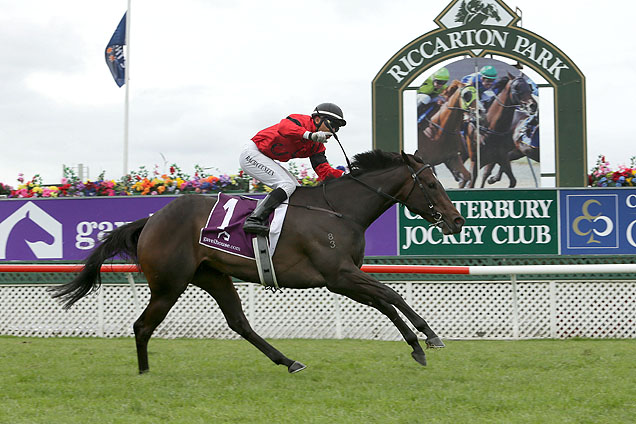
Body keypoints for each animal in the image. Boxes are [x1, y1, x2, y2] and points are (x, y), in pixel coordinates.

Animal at [51, 152, 468, 374]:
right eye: (432, 185)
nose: (457, 220)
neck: (339, 211)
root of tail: (151, 219)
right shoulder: (338, 275)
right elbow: (392, 295)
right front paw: (428, 336)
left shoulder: (344, 279)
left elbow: (385, 302)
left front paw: (416, 345)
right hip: (170, 283)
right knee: (142, 325)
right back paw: (144, 372)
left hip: (213, 277)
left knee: (239, 323)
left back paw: (288, 361)